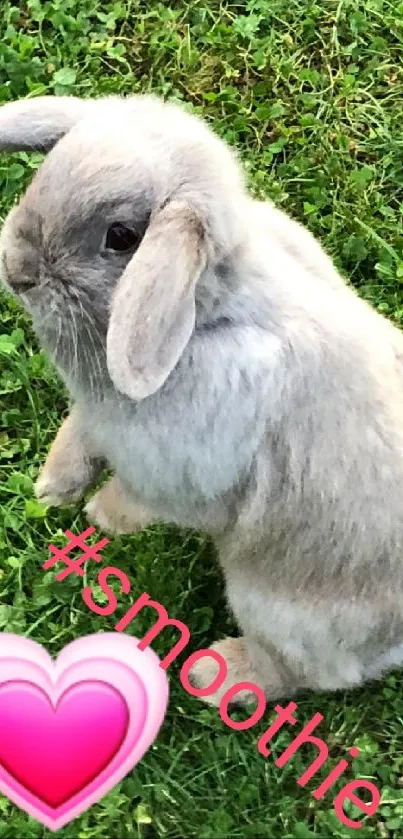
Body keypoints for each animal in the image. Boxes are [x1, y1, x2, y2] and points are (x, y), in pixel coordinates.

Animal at [0, 95, 403, 704]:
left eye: (122, 236)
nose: (16, 271)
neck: (200, 314)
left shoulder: (183, 474)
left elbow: (143, 499)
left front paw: (100, 517)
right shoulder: (97, 418)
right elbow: (81, 435)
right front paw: (52, 488)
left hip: (273, 606)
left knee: (304, 674)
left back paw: (215, 675)